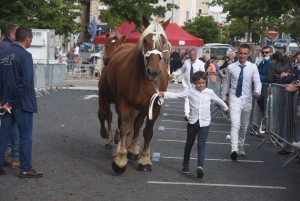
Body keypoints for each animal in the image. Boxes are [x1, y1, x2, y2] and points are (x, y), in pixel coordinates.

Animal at [98, 15, 170, 173]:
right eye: (145, 40)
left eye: (163, 42)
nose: (153, 72)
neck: (143, 79)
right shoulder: (122, 102)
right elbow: (122, 126)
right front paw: (120, 160)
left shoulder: (154, 106)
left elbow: (147, 131)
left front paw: (145, 160)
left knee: (137, 124)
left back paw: (134, 149)